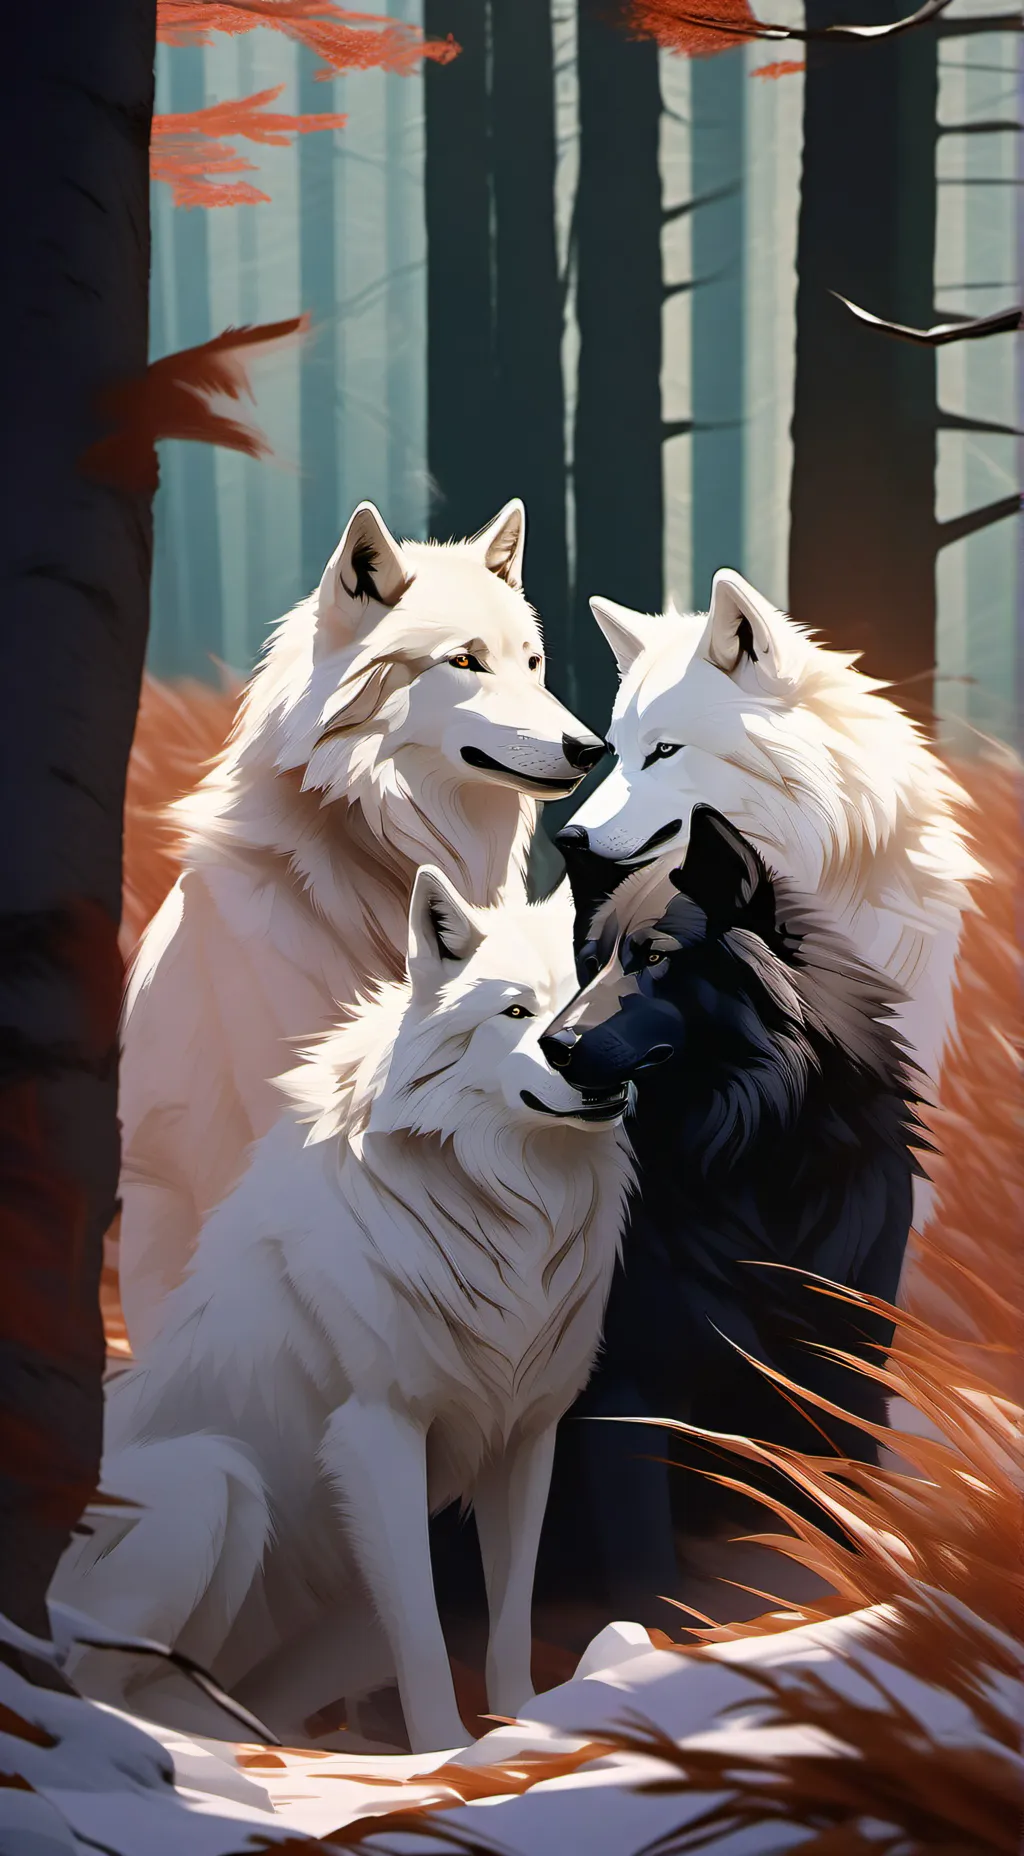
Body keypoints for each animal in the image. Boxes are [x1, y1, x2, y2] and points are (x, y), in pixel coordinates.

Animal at [55, 868, 632, 1755]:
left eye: (595, 1005)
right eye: (515, 1013)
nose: (597, 1069)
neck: (510, 1215)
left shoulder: (527, 1437)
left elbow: (509, 1621)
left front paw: (522, 1725)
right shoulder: (375, 1432)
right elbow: (424, 1643)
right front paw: (444, 1753)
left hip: (345, 1607)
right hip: (214, 1483)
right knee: (101, 1684)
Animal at [536, 806, 922, 1618]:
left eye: (653, 955)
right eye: (590, 964)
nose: (554, 1044)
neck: (748, 1163)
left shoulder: (846, 1369)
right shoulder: (625, 1395)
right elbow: (647, 1579)